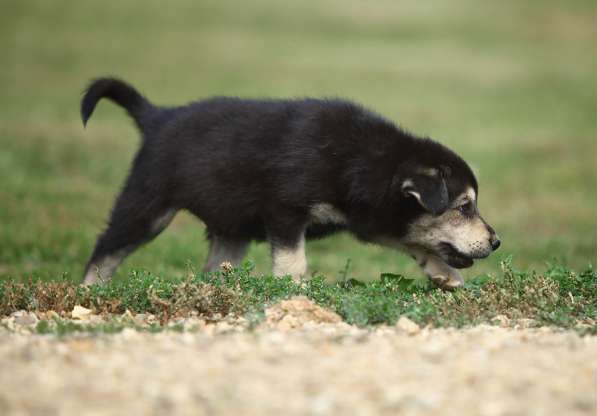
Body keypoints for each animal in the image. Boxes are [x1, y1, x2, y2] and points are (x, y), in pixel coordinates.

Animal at [80, 77, 498, 290]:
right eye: (464, 207)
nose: (496, 242)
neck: (363, 160)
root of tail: (157, 116)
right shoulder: (285, 211)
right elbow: (293, 262)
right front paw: (295, 295)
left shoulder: (372, 218)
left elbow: (416, 241)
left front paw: (447, 276)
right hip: (146, 206)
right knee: (105, 251)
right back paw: (89, 292)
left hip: (232, 231)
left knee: (215, 268)